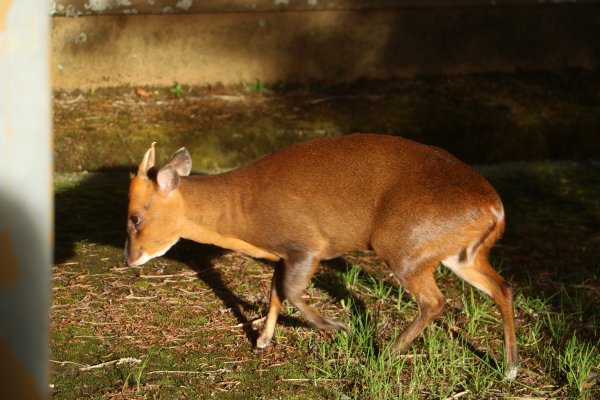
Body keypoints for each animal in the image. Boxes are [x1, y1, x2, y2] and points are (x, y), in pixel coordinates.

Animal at [124, 134, 516, 378]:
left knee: (435, 301)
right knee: (502, 287)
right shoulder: (284, 253)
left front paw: (335, 326)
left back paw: (386, 354)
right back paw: (510, 368)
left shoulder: (308, 243)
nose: (129, 258)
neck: (240, 214)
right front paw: (263, 340)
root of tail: (495, 208)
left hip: (403, 244)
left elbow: (291, 292)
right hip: (459, 253)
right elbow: (276, 292)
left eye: (135, 218)